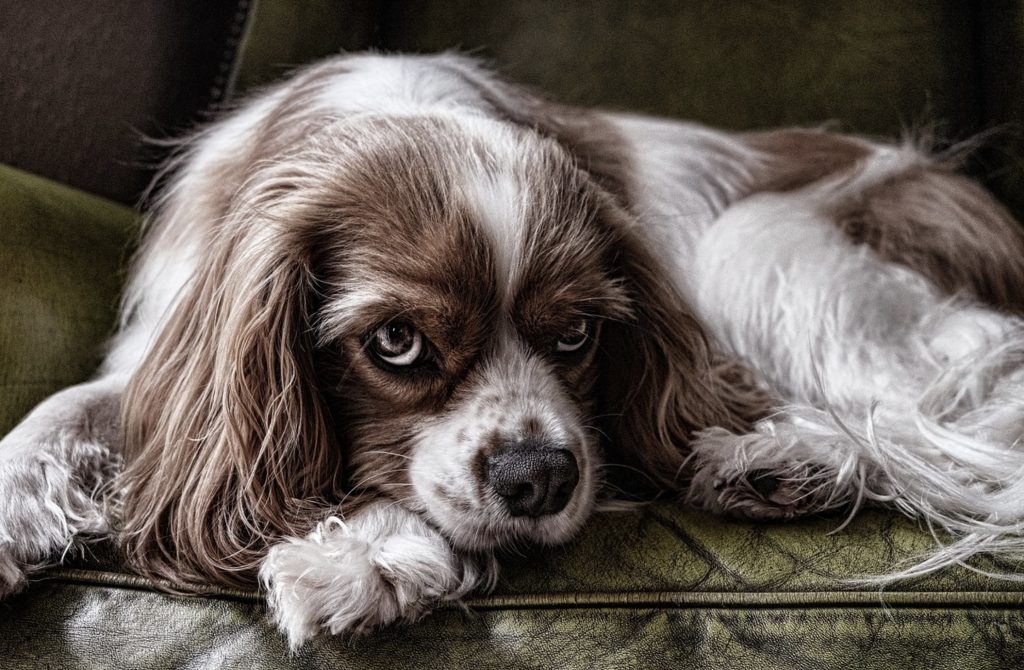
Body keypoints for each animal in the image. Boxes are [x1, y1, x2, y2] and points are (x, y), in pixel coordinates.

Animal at [2, 53, 1024, 651]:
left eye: (576, 334)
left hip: (764, 245)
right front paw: (13, 511)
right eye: (397, 342)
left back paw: (785, 456)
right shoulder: (172, 353)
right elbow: (65, 410)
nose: (539, 478)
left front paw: (369, 554)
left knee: (938, 410)